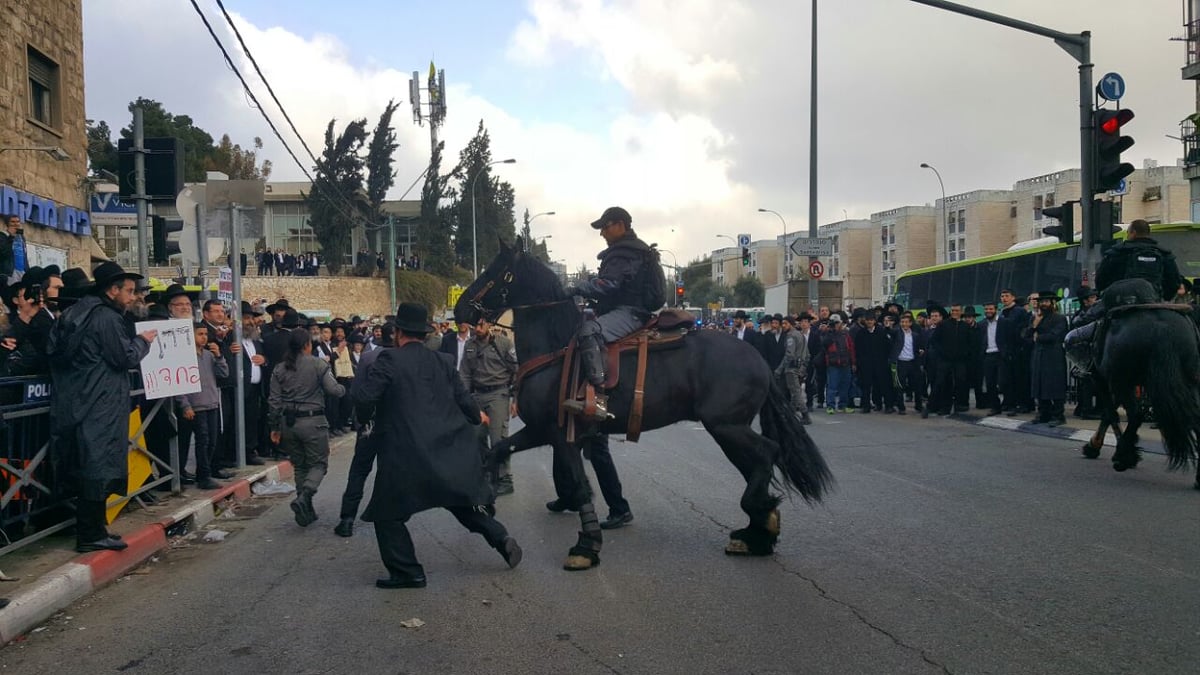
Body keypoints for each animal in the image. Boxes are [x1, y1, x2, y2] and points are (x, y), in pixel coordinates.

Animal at [451, 239, 835, 569]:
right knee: (757, 463)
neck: (556, 348)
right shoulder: (541, 430)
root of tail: (759, 359)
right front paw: (484, 501)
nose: (458, 308)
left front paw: (586, 546)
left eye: (496, 271)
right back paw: (757, 531)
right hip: (729, 430)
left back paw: (758, 524)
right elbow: (496, 450)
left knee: (767, 454)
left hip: (727, 427)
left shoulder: (560, 434)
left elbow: (577, 483)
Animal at [1080, 276, 1200, 485]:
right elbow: (1110, 415)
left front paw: (1117, 450)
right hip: (1190, 380)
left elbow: (1111, 414)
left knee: (1136, 415)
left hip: (1123, 381)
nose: (1088, 311)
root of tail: (1162, 329)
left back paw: (1122, 459)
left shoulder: (1102, 379)